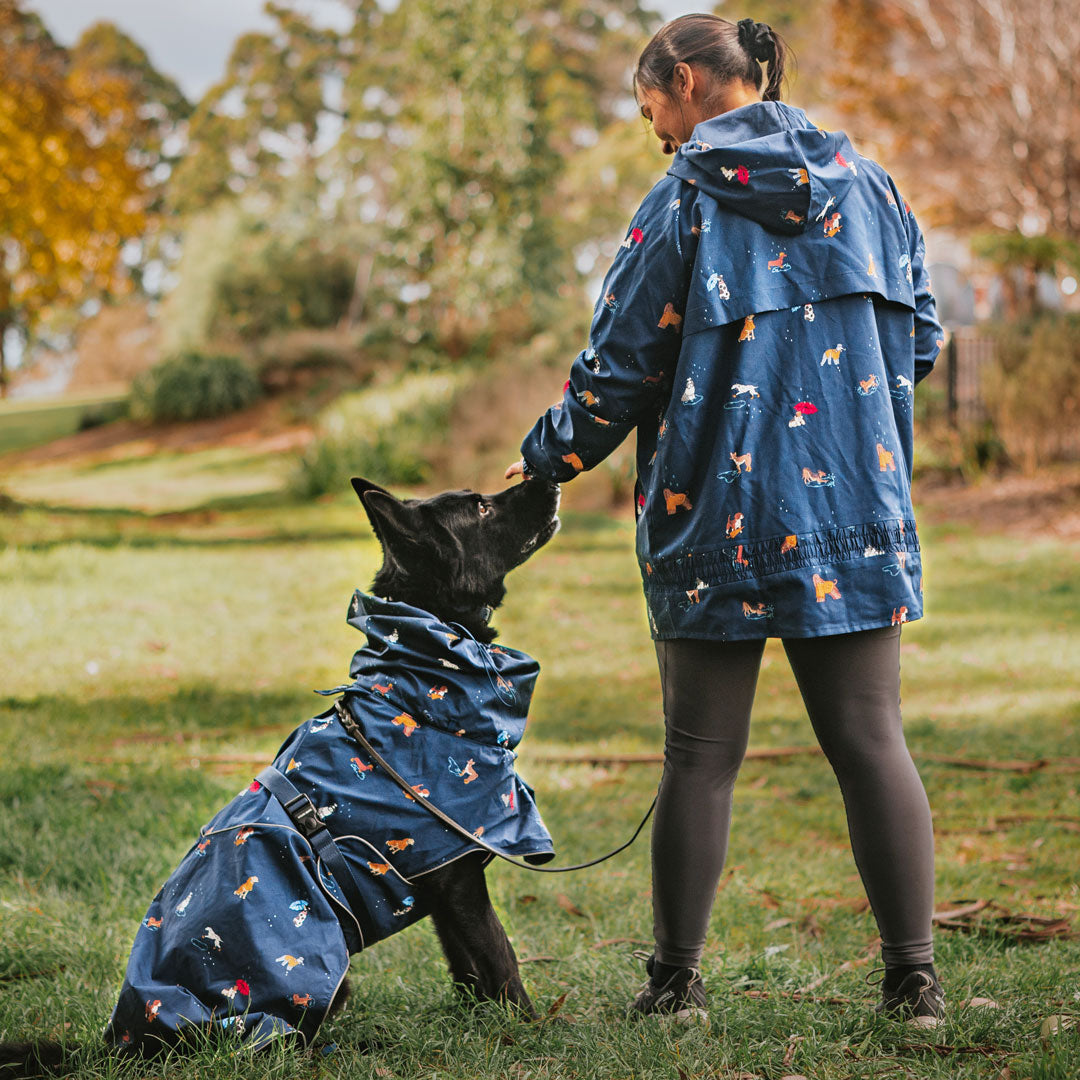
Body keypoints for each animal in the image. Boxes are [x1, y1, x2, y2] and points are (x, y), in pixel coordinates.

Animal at [0, 477, 557, 1075]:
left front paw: (488, 1026)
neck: (417, 697)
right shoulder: (458, 879)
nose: (548, 479)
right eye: (480, 506)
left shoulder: (446, 885)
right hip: (310, 977)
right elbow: (501, 959)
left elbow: (470, 971)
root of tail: (124, 1044)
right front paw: (537, 1032)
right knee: (282, 1046)